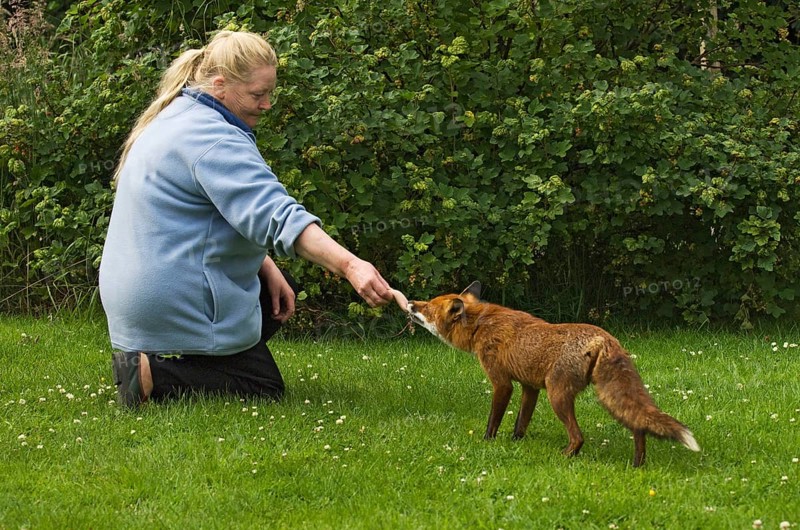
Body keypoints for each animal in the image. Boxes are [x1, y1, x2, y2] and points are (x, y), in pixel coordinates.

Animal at [407, 281, 700, 467]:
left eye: (428, 307)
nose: (410, 303)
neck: (481, 323)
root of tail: (605, 338)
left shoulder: (502, 383)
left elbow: (494, 420)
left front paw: (487, 442)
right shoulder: (530, 387)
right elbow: (521, 422)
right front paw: (516, 443)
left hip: (558, 396)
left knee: (579, 436)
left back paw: (566, 456)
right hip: (605, 395)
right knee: (639, 427)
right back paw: (637, 464)